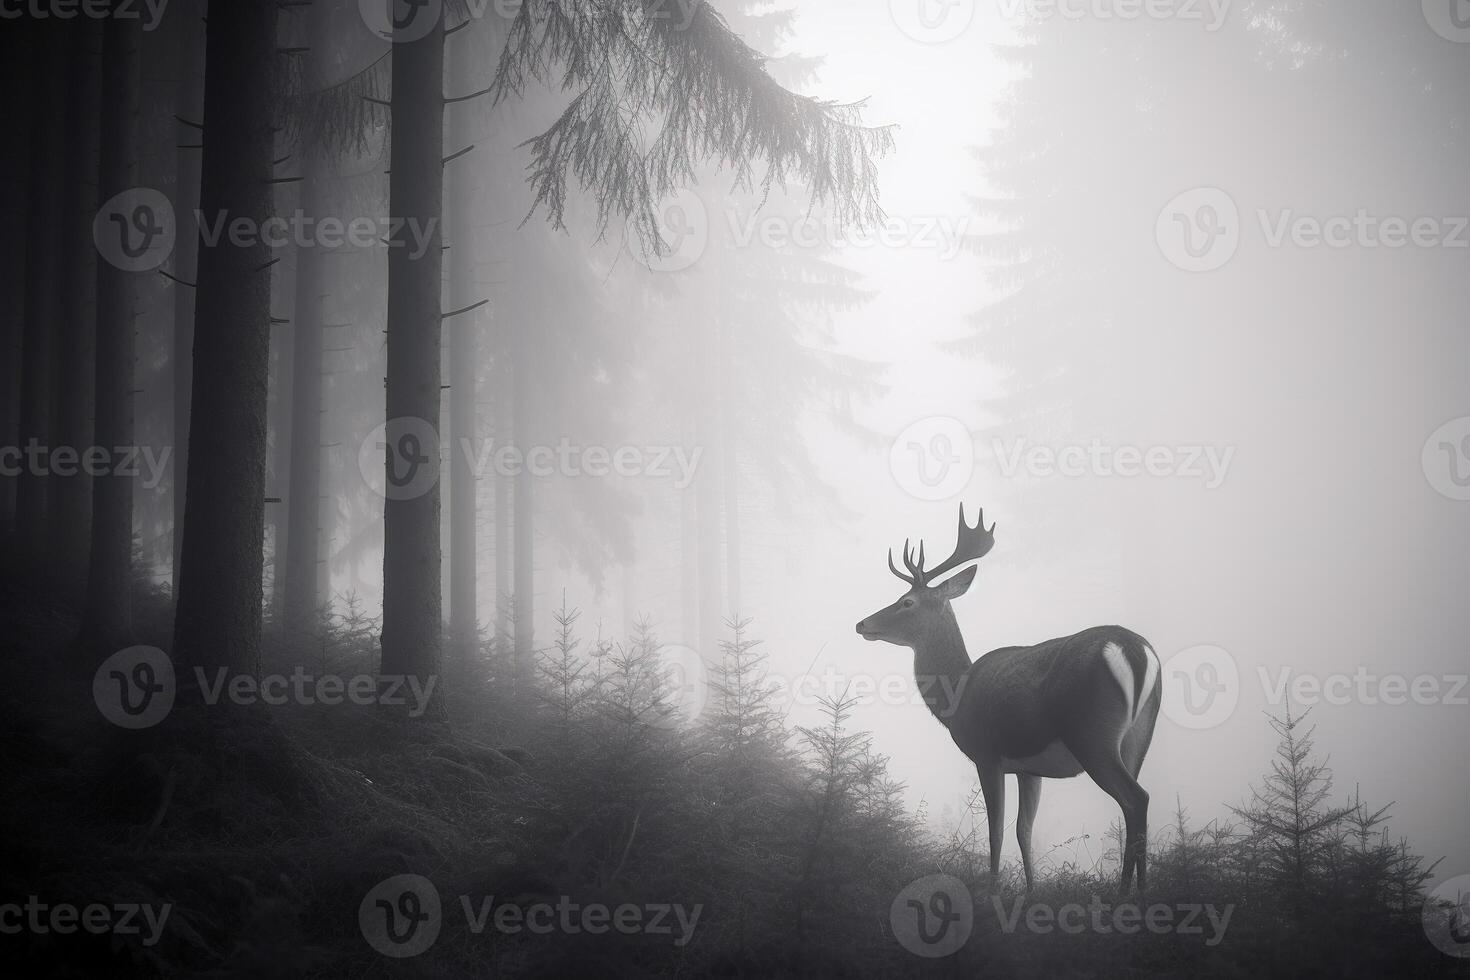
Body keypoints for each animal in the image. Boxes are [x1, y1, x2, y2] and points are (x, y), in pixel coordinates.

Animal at [858, 511, 1158, 893]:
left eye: (906, 601)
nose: (861, 623)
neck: (956, 694)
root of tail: (1135, 649)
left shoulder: (986, 755)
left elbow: (996, 832)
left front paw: (992, 890)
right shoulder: (1029, 769)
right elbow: (1023, 830)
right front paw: (1030, 891)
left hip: (1092, 734)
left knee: (1135, 799)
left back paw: (1127, 894)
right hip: (1139, 735)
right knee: (1135, 805)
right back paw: (1139, 891)